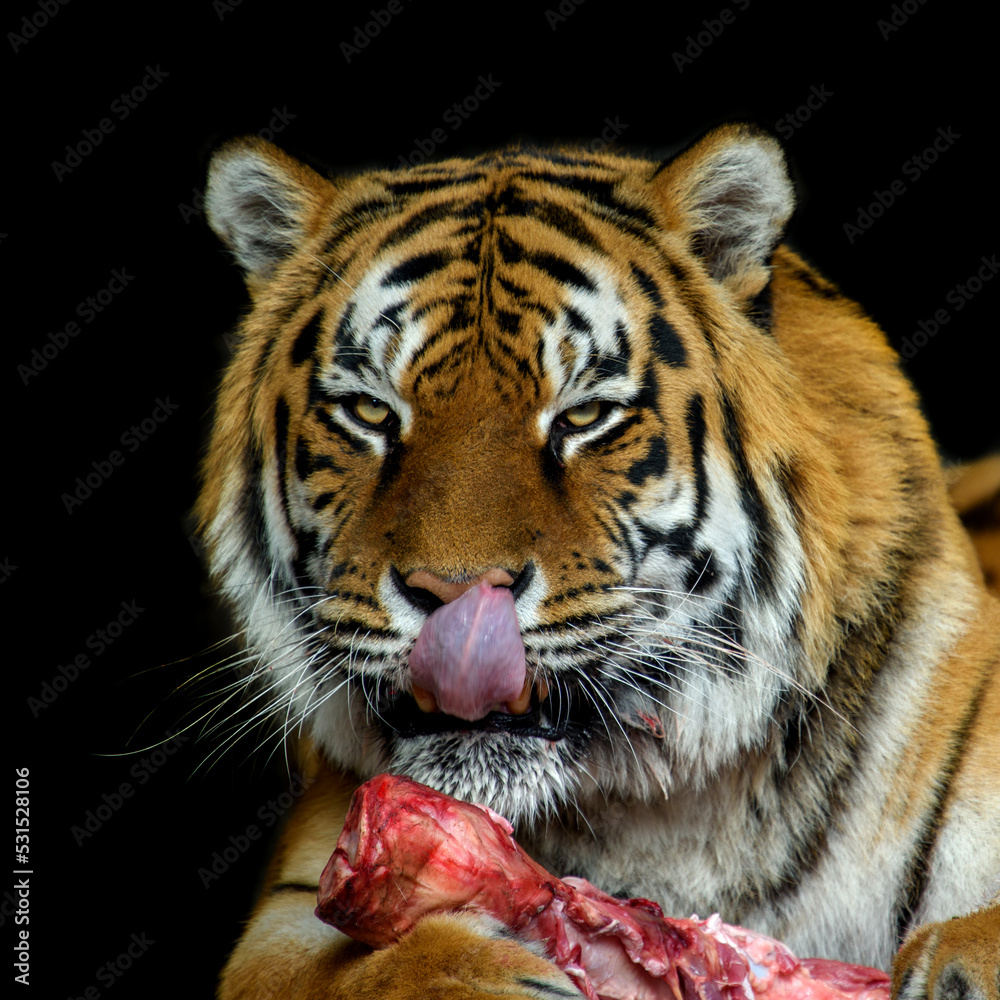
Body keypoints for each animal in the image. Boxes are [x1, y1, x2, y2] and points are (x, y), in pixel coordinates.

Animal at [196, 123, 1000, 1000]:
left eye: (582, 417)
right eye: (370, 412)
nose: (454, 595)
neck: (668, 818)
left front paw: (954, 960)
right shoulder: (286, 911)